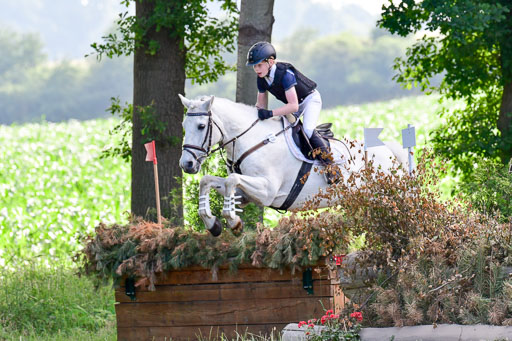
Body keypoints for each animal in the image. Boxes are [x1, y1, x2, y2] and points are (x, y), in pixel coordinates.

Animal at [180, 94, 408, 235]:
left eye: (201, 126)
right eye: (184, 125)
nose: (187, 164)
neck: (252, 139)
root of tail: (388, 150)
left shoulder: (267, 191)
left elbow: (232, 180)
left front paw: (233, 223)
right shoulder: (245, 194)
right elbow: (208, 181)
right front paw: (213, 224)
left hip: (384, 196)